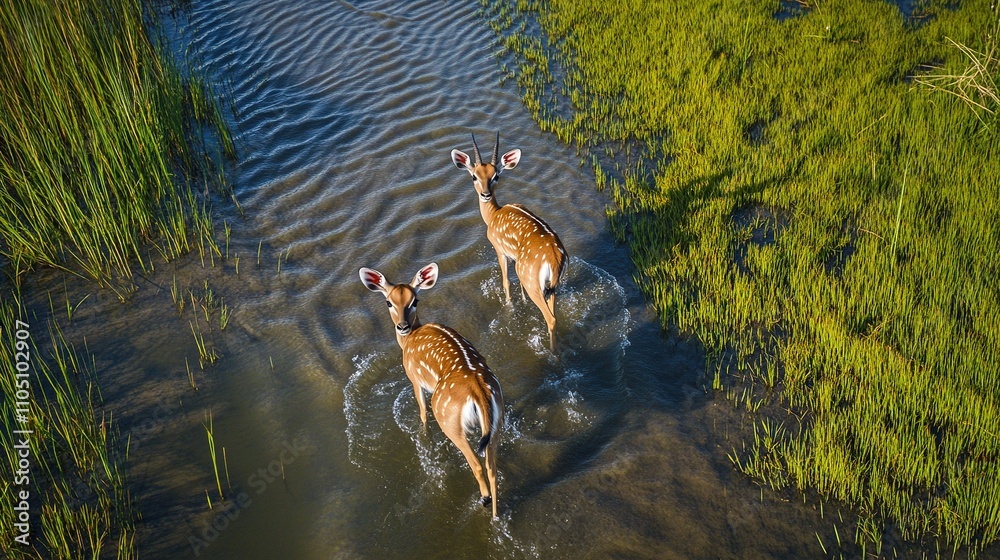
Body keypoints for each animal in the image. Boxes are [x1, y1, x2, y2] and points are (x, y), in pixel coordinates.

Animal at [359, 263, 504, 517]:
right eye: (389, 302)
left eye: (414, 300)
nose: (402, 326)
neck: (408, 341)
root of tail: (477, 391)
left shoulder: (414, 378)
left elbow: (422, 413)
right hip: (496, 419)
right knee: (492, 466)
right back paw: (496, 514)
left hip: (448, 418)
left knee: (476, 463)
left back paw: (484, 499)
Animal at [451, 132, 567, 351]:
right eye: (474, 176)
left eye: (496, 176)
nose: (485, 194)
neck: (492, 216)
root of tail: (555, 259)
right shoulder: (515, 259)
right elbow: (516, 283)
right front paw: (521, 302)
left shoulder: (499, 249)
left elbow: (506, 281)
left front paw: (509, 305)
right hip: (551, 284)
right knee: (554, 311)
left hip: (532, 279)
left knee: (551, 318)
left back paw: (551, 351)